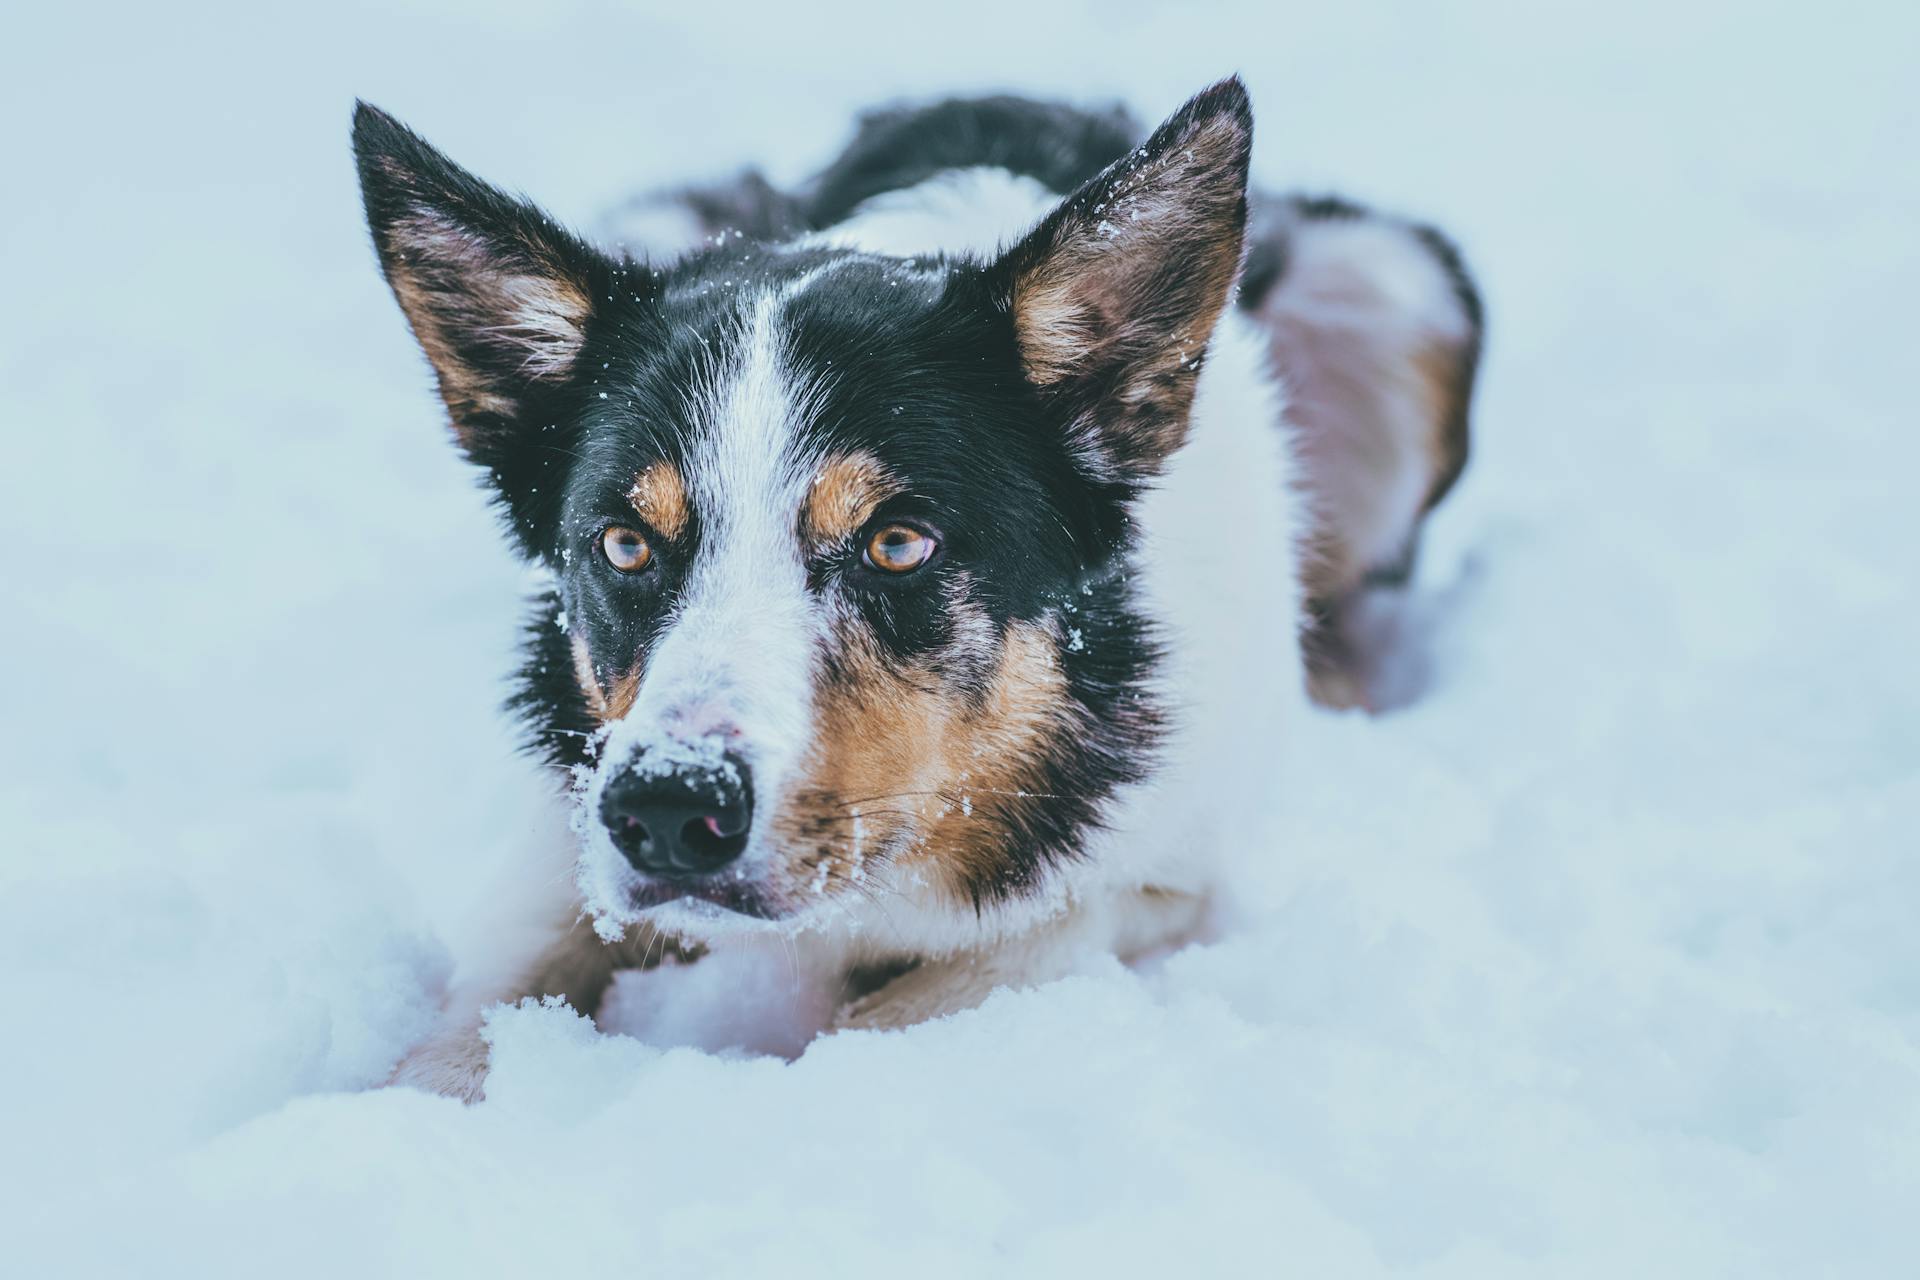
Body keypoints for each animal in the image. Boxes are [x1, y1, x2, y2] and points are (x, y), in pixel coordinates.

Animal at [360, 80, 1482, 1105]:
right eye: (626, 545)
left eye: (897, 544)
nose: (672, 806)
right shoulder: (576, 809)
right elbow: (491, 992)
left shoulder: (1171, 874)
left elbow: (972, 968)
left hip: (1401, 280)